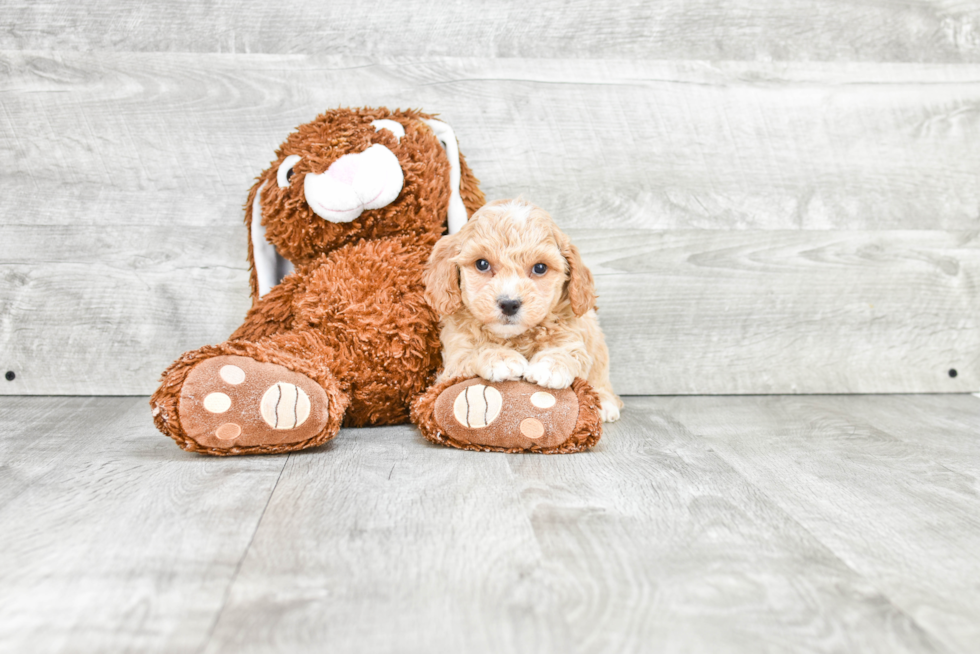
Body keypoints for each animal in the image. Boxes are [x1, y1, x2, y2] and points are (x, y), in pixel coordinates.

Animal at [422, 197, 620, 422]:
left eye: (540, 268)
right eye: (482, 264)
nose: (509, 304)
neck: (515, 337)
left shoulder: (572, 334)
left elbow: (569, 352)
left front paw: (550, 365)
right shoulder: (454, 356)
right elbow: (473, 350)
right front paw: (500, 357)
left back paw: (605, 402)